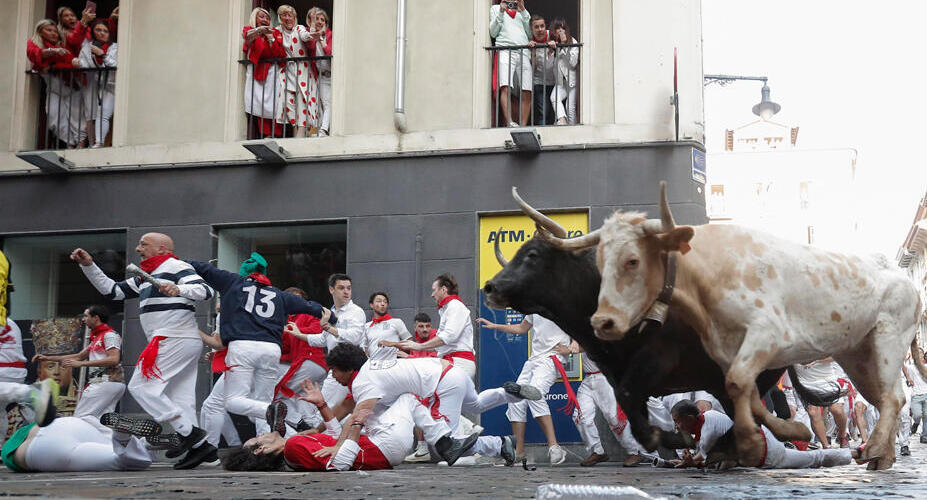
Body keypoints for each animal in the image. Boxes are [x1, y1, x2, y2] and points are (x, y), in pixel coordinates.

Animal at [544, 183, 927, 468]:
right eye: (599, 260)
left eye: (632, 260)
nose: (602, 321)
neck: (708, 275)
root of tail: (901, 278)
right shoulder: (727, 350)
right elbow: (747, 395)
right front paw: (792, 430)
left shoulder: (766, 334)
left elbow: (738, 384)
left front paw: (749, 444)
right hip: (858, 355)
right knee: (884, 397)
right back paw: (883, 455)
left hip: (888, 341)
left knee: (893, 397)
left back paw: (875, 450)